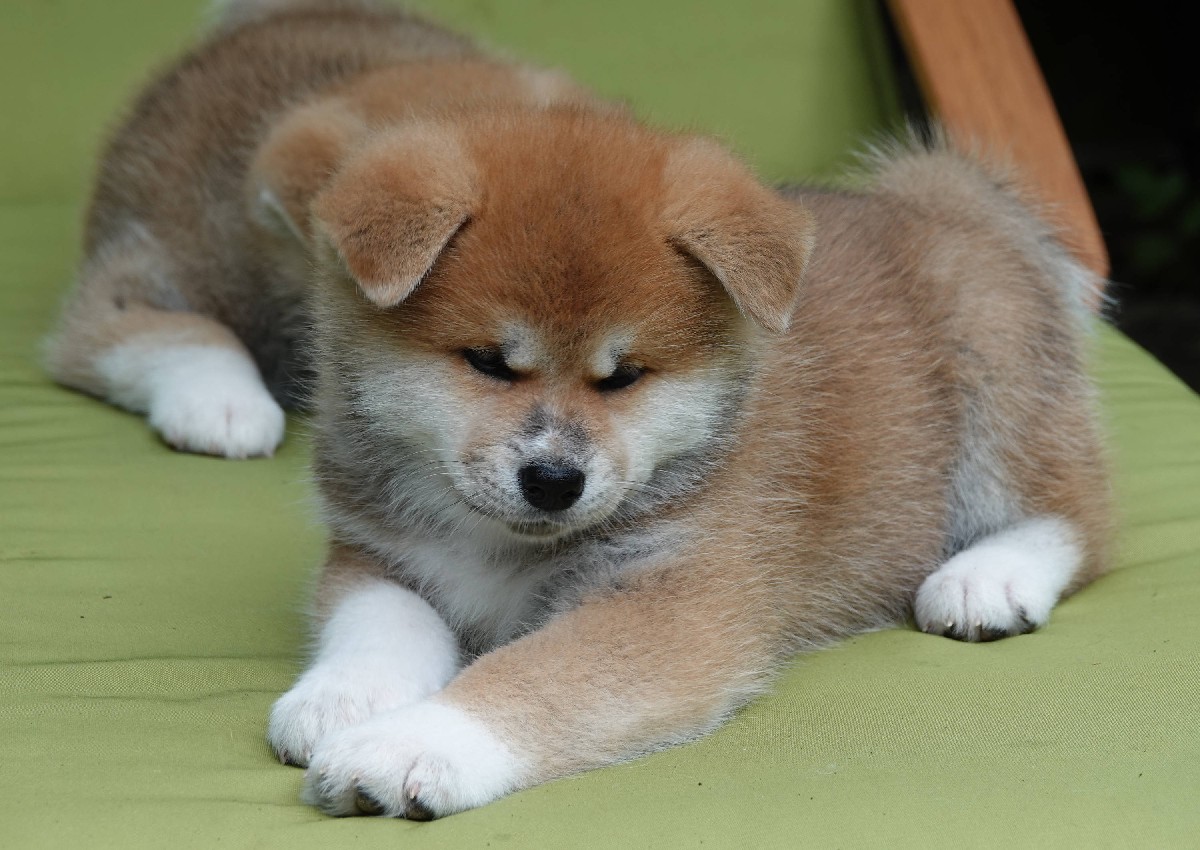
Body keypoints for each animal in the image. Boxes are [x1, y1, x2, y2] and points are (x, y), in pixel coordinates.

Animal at [47, 0, 1111, 819]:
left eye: (623, 376)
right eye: (488, 363)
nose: (554, 479)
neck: (499, 548)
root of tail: (949, 206)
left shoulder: (674, 602)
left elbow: (530, 680)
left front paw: (408, 746)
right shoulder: (374, 552)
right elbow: (377, 625)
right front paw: (344, 699)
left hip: (993, 363)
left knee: (1076, 517)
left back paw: (987, 577)